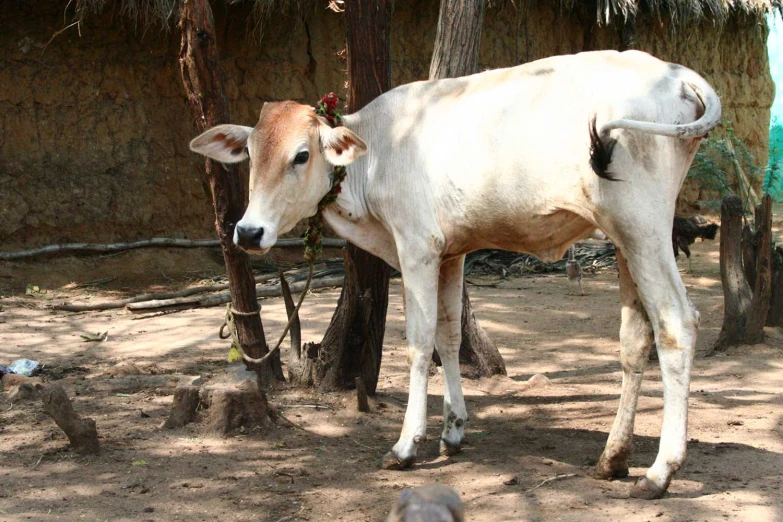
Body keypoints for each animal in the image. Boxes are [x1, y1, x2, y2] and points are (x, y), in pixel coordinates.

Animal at [190, 50, 724, 498]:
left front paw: (407, 444)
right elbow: (448, 336)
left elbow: (418, 342)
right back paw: (613, 459)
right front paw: (452, 431)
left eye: (301, 155)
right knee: (635, 337)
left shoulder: (417, 249)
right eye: (252, 155)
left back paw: (660, 471)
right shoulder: (451, 254)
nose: (249, 231)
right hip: (625, 240)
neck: (376, 151)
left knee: (677, 323)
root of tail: (677, 73)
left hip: (643, 227)